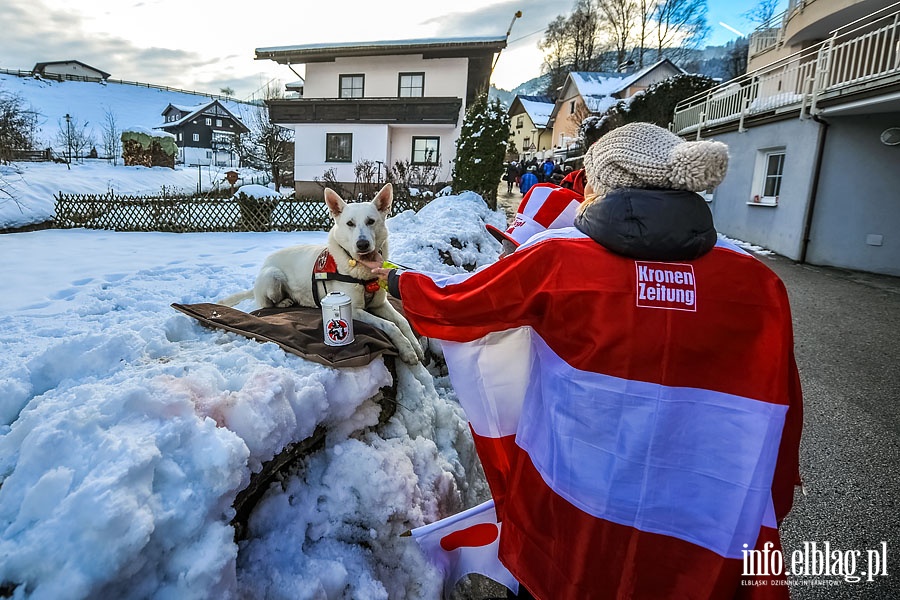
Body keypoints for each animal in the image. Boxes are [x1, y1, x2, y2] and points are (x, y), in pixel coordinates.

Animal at [221, 183, 426, 364]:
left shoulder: (380, 304)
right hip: (273, 276)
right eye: (350, 223)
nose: (362, 245)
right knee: (266, 304)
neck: (360, 270)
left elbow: (402, 321)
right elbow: (390, 325)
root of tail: (264, 266)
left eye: (371, 221)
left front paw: (415, 346)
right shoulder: (355, 310)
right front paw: (407, 350)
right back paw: (285, 301)